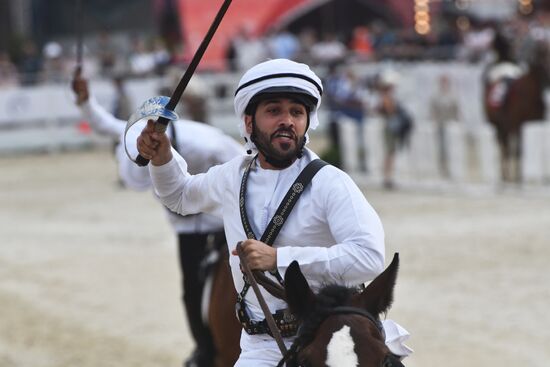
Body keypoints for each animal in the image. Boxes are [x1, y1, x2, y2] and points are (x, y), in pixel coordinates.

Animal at [486, 32, 548, 182]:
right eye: (542, 53)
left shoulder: (539, 121)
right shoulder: (517, 123)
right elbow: (518, 150)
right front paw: (518, 179)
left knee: (507, 146)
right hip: (498, 125)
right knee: (503, 147)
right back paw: (505, 178)